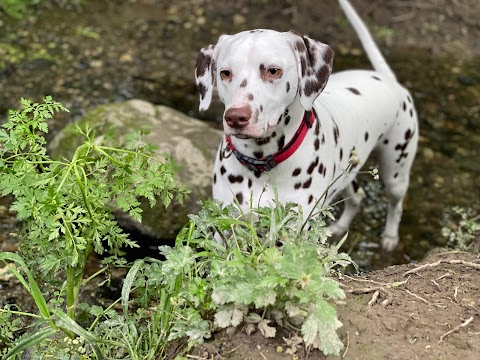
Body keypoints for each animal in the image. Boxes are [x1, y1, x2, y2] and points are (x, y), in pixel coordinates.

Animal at [195, 0, 416, 250]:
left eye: (273, 70)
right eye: (225, 73)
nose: (235, 117)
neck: (261, 165)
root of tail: (390, 81)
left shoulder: (294, 234)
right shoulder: (224, 229)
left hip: (396, 172)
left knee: (396, 205)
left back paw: (390, 236)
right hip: (347, 172)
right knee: (356, 197)